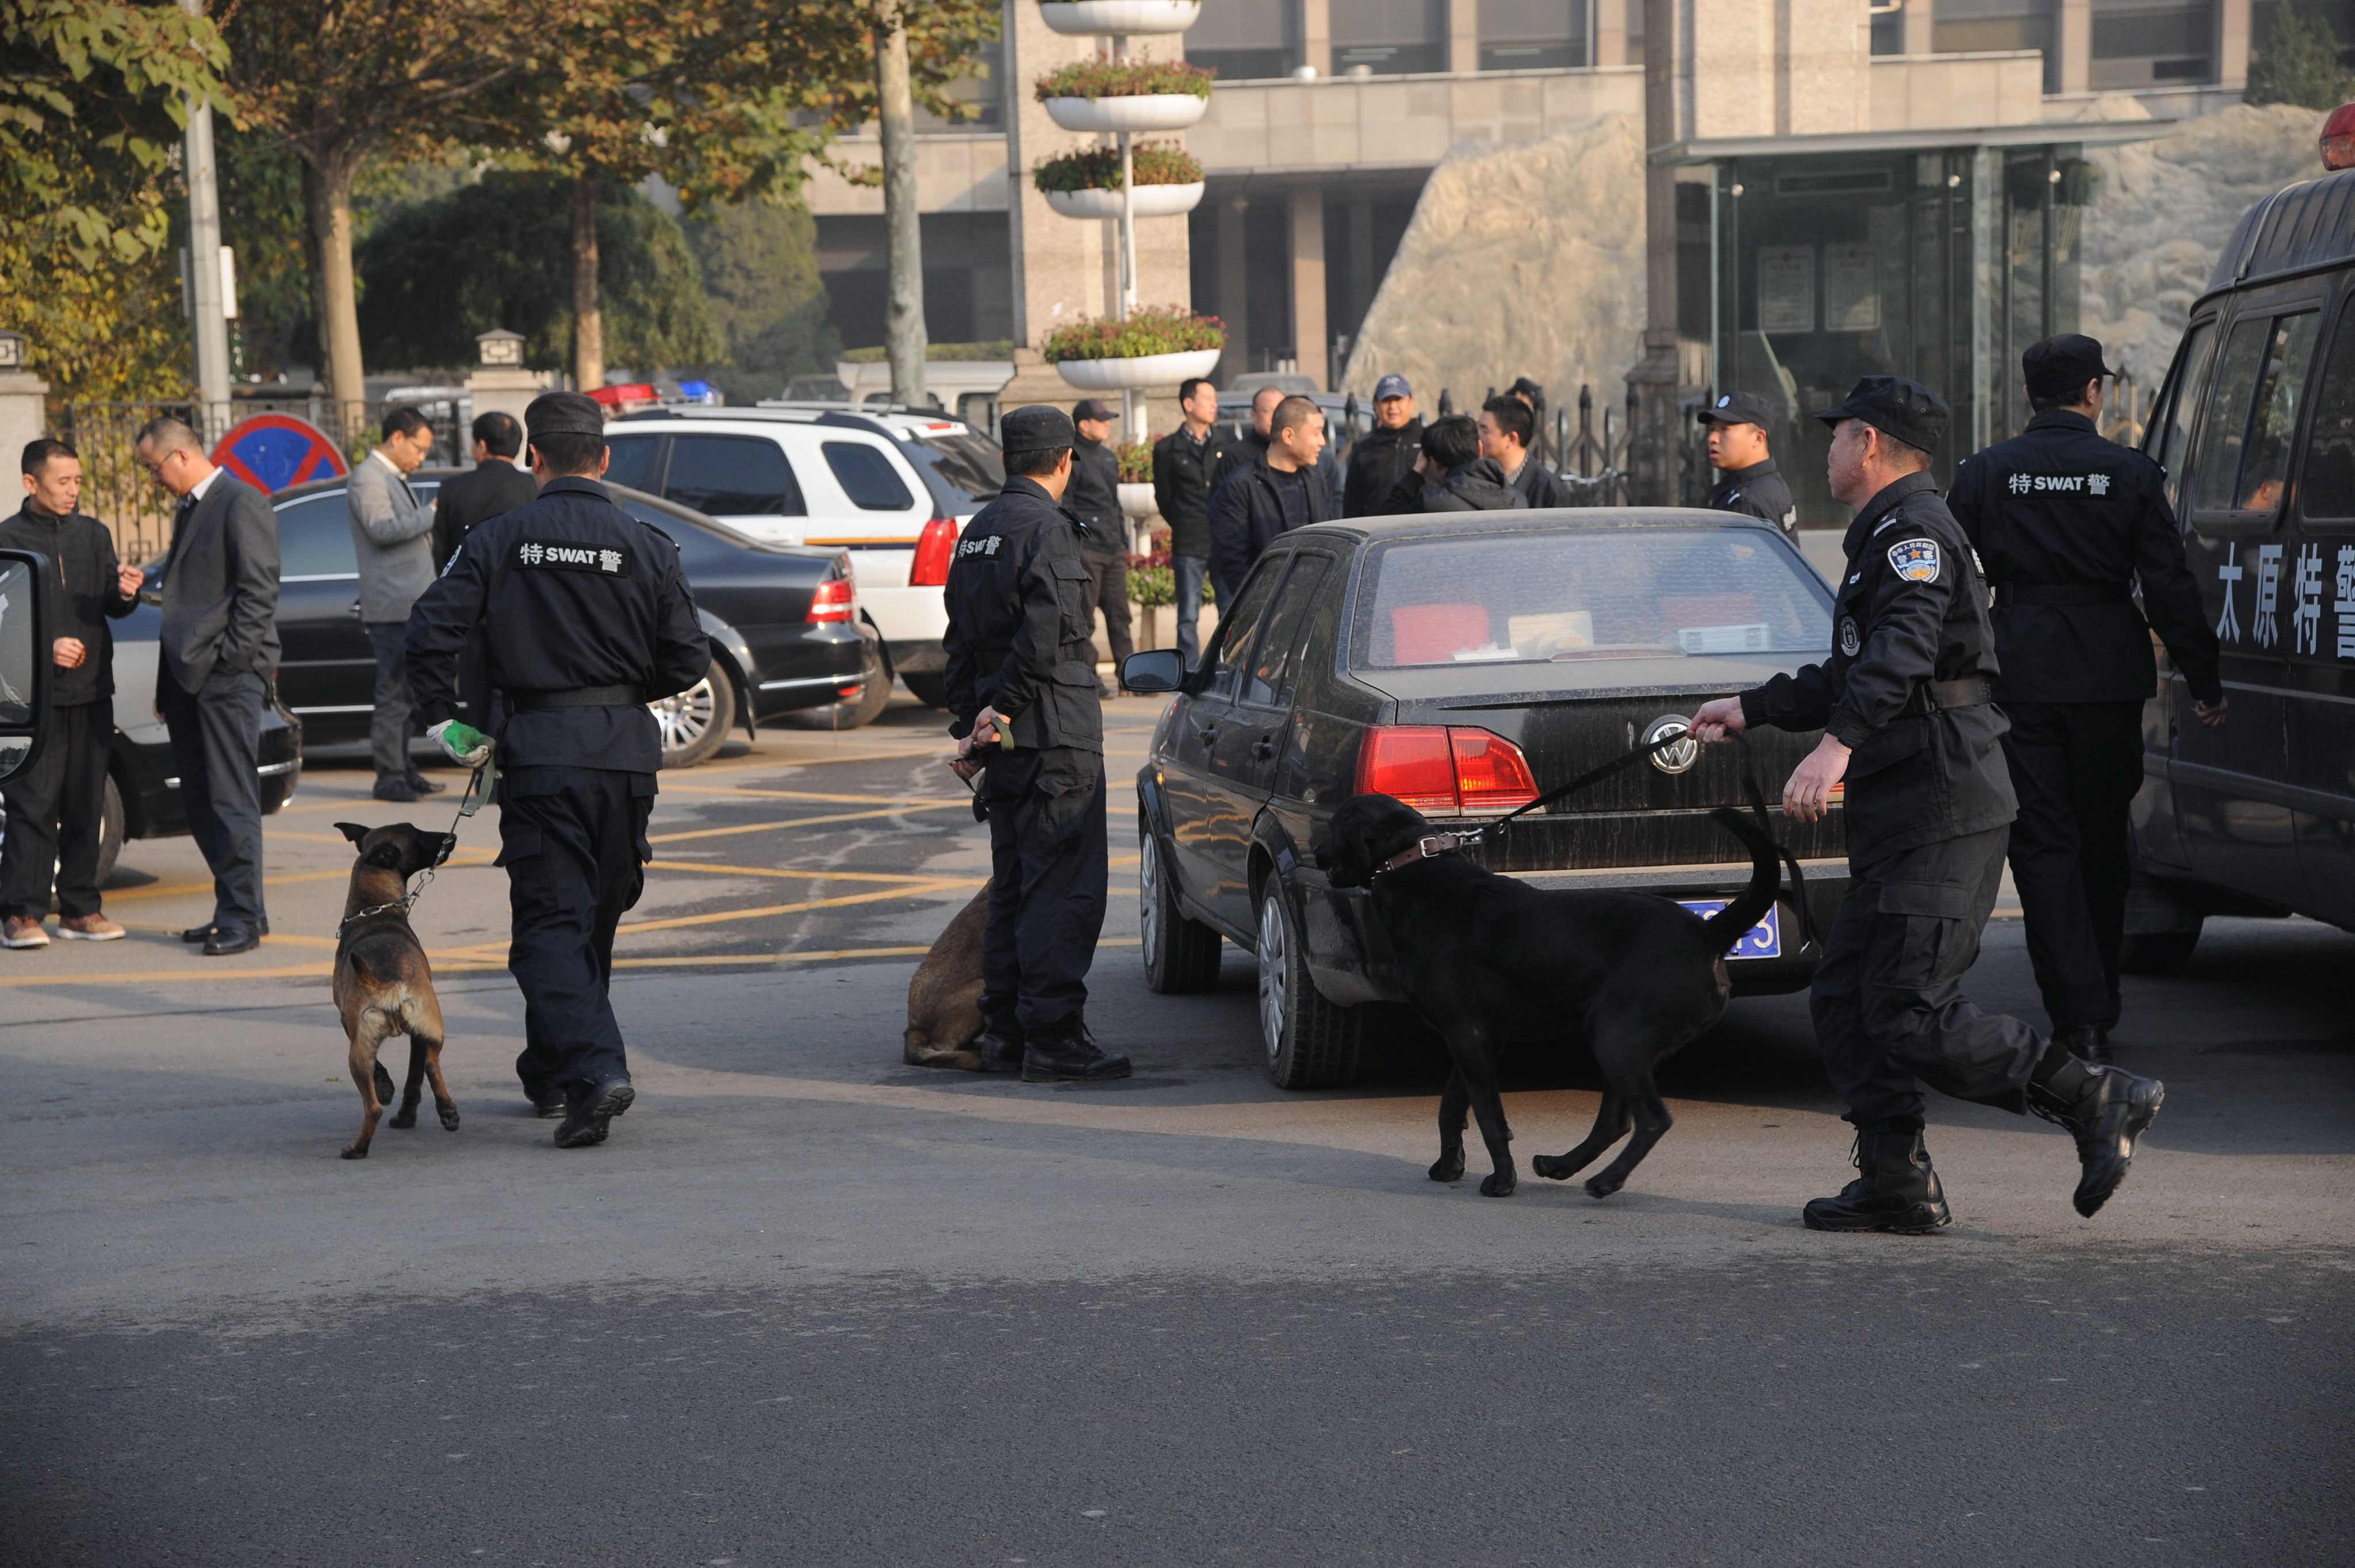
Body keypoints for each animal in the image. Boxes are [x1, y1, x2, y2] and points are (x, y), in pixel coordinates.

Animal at [334, 824, 457, 1153]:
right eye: (420, 834)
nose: (450, 837)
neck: (375, 912)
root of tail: (388, 983)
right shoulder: (413, 1036)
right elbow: (413, 1077)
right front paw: (401, 1108)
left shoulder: (348, 1025)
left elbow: (392, 1073)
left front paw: (388, 1091)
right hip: (429, 1031)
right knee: (429, 1067)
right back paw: (446, 1112)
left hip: (361, 1051)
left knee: (377, 1104)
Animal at [1328, 795, 1780, 1196]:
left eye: (1330, 824)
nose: (1314, 851)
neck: (1413, 864)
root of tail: (1707, 931)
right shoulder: (1477, 1037)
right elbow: (1452, 1106)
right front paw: (1448, 1166)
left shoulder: (1467, 1036)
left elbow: (1489, 1117)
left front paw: (1501, 1181)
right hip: (1617, 1040)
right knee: (1615, 1123)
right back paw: (1561, 1165)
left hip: (1616, 1037)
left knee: (1652, 1119)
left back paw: (1605, 1181)